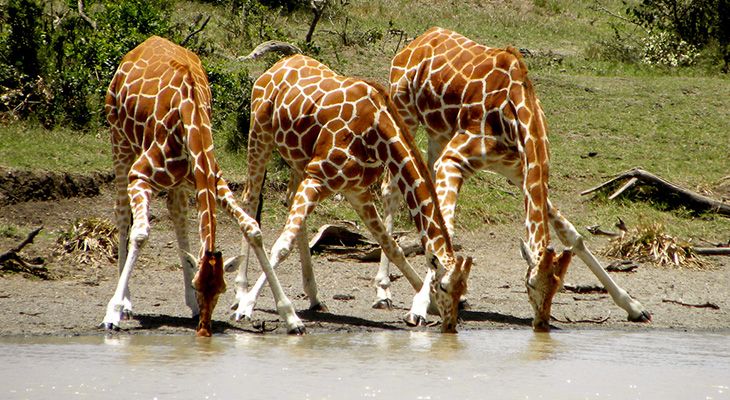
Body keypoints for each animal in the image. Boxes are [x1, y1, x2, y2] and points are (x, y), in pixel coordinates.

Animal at [101, 36, 302, 336]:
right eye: (199, 286)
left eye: (220, 289)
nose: (205, 330)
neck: (190, 117)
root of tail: (141, 45)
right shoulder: (141, 175)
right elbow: (140, 233)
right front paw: (113, 311)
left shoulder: (213, 179)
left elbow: (252, 229)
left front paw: (291, 317)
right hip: (119, 139)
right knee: (123, 213)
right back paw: (126, 303)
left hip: (177, 180)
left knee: (177, 214)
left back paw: (188, 305)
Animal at [225, 43, 472, 332]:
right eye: (444, 287)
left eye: (462, 289)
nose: (451, 325)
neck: (377, 134)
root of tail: (276, 65)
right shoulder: (318, 178)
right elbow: (281, 247)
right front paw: (251, 307)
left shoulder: (357, 191)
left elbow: (392, 246)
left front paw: (422, 307)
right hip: (259, 134)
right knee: (251, 200)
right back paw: (240, 294)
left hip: (298, 161)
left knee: (289, 201)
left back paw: (314, 297)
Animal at [382, 25, 648, 332]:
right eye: (530, 284)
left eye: (558, 286)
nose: (541, 324)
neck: (515, 114)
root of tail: (419, 39)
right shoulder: (454, 160)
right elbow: (444, 231)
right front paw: (418, 308)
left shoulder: (520, 173)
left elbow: (573, 235)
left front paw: (633, 306)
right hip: (404, 112)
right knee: (390, 190)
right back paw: (383, 292)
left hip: (438, 134)